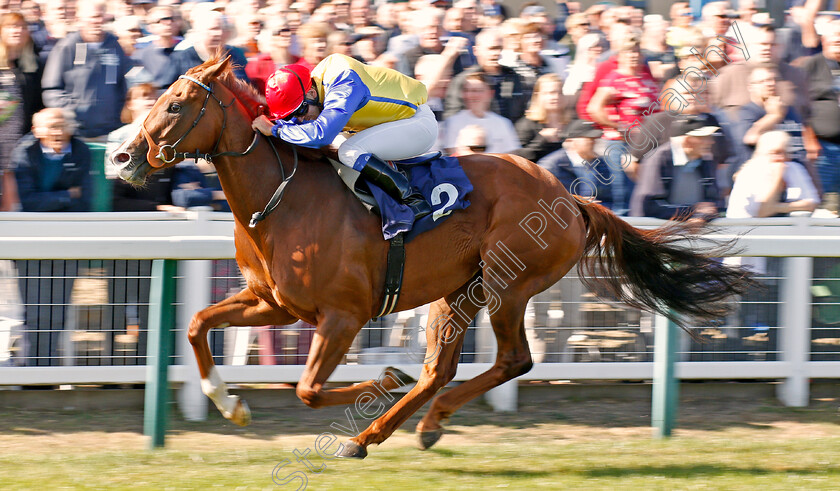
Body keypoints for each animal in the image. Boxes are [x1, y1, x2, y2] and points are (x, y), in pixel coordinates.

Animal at [110, 57, 748, 462]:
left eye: (177, 103)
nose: (122, 158)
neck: (281, 196)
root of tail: (570, 198)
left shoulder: (342, 316)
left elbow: (309, 389)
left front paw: (380, 377)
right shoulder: (273, 303)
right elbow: (197, 325)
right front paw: (232, 406)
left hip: (507, 283)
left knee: (512, 359)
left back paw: (405, 420)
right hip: (458, 291)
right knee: (441, 370)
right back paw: (388, 432)